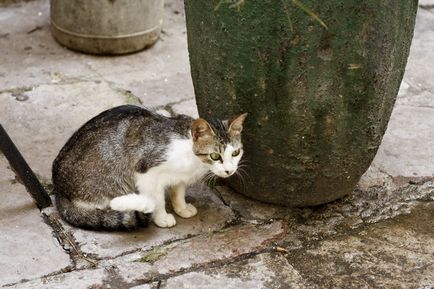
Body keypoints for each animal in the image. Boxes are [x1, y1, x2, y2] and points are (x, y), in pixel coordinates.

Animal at [51, 104, 248, 231]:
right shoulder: (147, 174)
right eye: (215, 156)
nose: (229, 170)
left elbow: (178, 192)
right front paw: (162, 218)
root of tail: (59, 193)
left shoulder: (180, 177)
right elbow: (157, 200)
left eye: (236, 153)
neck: (192, 159)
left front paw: (182, 208)